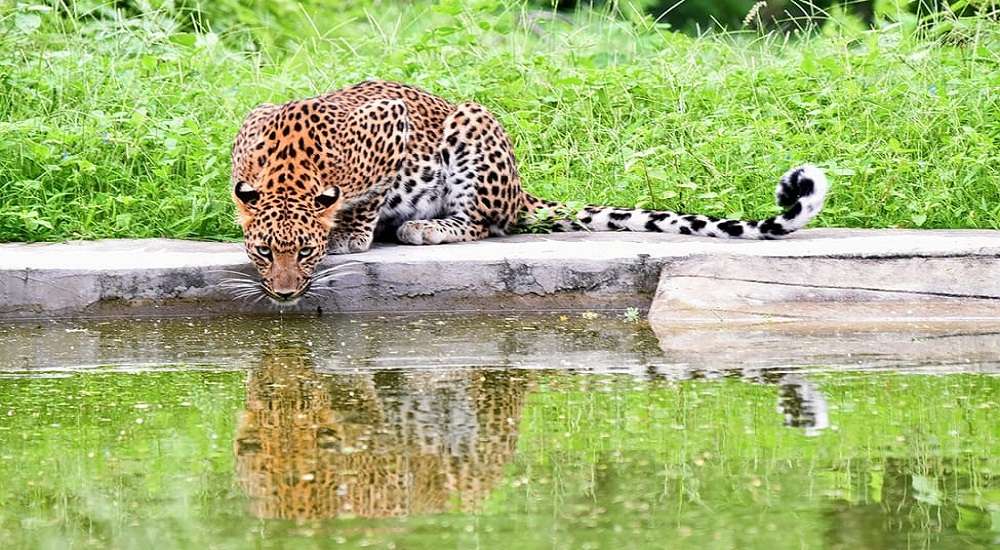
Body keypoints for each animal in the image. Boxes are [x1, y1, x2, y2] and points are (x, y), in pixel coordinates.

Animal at [230, 80, 828, 303]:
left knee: (481, 224)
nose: (283, 294)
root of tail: (521, 191)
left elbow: (370, 196)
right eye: (262, 252)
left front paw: (352, 234)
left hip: (472, 126)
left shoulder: (391, 124)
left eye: (306, 252)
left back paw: (423, 226)